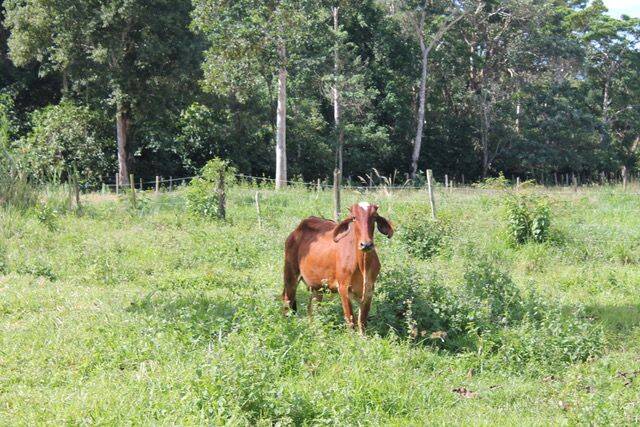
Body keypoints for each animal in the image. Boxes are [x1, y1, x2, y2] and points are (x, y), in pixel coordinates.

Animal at [282, 203, 392, 334]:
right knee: (287, 301)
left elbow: (362, 322)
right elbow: (351, 320)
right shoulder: (343, 288)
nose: (366, 244)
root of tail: (297, 229)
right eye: (354, 217)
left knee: (312, 308)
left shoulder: (369, 290)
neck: (362, 264)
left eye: (374, 216)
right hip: (290, 275)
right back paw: (288, 326)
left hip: (317, 287)